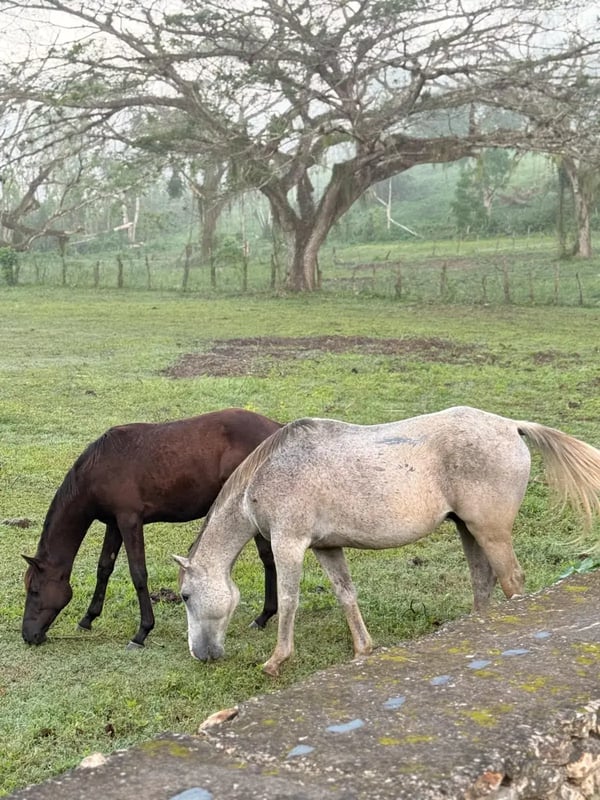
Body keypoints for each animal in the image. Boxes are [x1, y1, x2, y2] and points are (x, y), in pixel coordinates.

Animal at [22, 408, 282, 649]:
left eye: (34, 590)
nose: (28, 635)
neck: (99, 467)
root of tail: (277, 428)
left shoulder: (130, 521)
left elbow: (138, 573)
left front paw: (142, 632)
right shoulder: (114, 524)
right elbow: (104, 568)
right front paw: (88, 618)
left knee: (268, 557)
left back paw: (264, 615)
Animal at [174, 406, 600, 677]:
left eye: (185, 596)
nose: (201, 655)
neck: (268, 473)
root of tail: (510, 425)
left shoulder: (288, 544)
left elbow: (289, 600)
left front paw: (277, 661)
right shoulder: (326, 547)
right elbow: (345, 593)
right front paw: (363, 650)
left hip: (490, 532)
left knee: (512, 581)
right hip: (469, 529)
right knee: (483, 581)